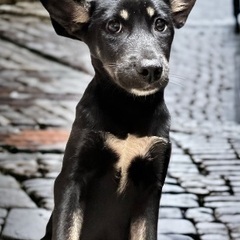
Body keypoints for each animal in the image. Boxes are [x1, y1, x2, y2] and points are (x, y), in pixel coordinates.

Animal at [39, 0, 195, 239]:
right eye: (114, 26)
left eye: (160, 24)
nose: (152, 70)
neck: (128, 108)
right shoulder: (71, 179)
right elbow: (67, 229)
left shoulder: (151, 186)